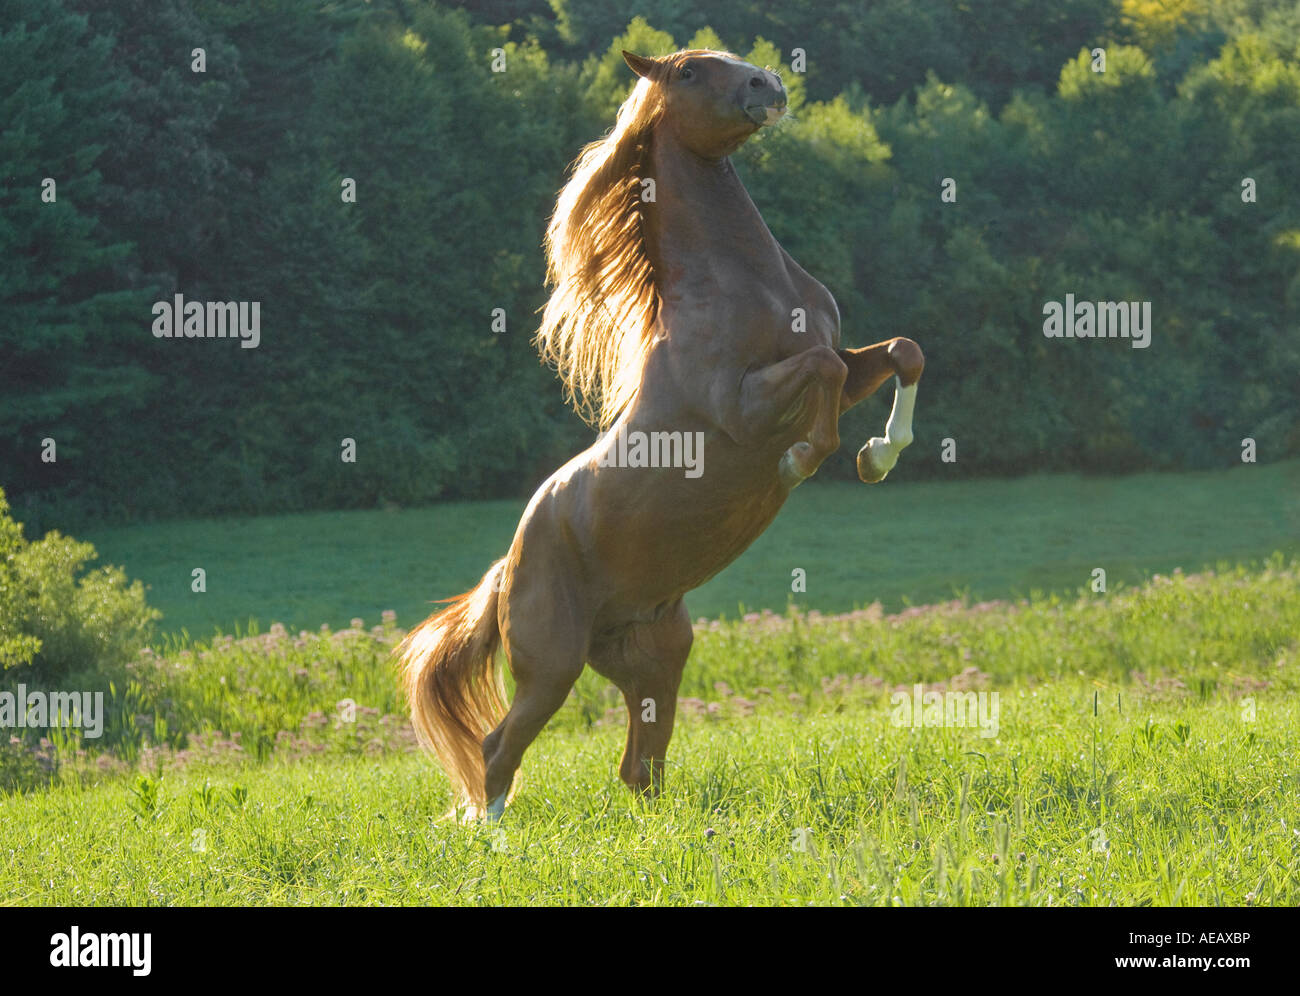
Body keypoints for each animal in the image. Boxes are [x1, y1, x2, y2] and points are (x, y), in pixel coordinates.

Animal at [400, 48, 920, 821]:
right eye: (690, 73)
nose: (769, 85)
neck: (741, 283)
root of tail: (505, 568)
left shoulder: (845, 361)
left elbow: (900, 353)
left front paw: (879, 455)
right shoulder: (741, 409)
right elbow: (822, 378)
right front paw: (805, 460)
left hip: (656, 654)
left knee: (638, 765)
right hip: (550, 666)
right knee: (497, 749)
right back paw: (489, 832)